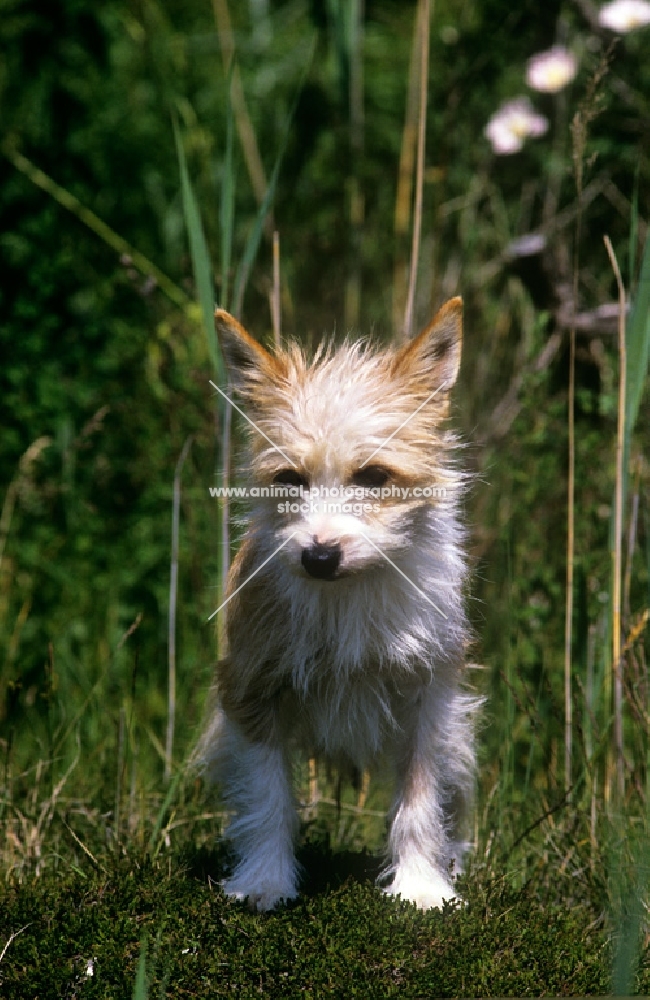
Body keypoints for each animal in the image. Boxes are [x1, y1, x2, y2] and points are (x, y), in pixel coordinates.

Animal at [200, 298, 478, 916]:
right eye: (289, 479)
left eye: (373, 477)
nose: (319, 555)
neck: (347, 594)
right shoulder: (253, 690)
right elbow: (268, 797)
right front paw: (265, 881)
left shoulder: (430, 701)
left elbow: (421, 799)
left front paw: (421, 886)